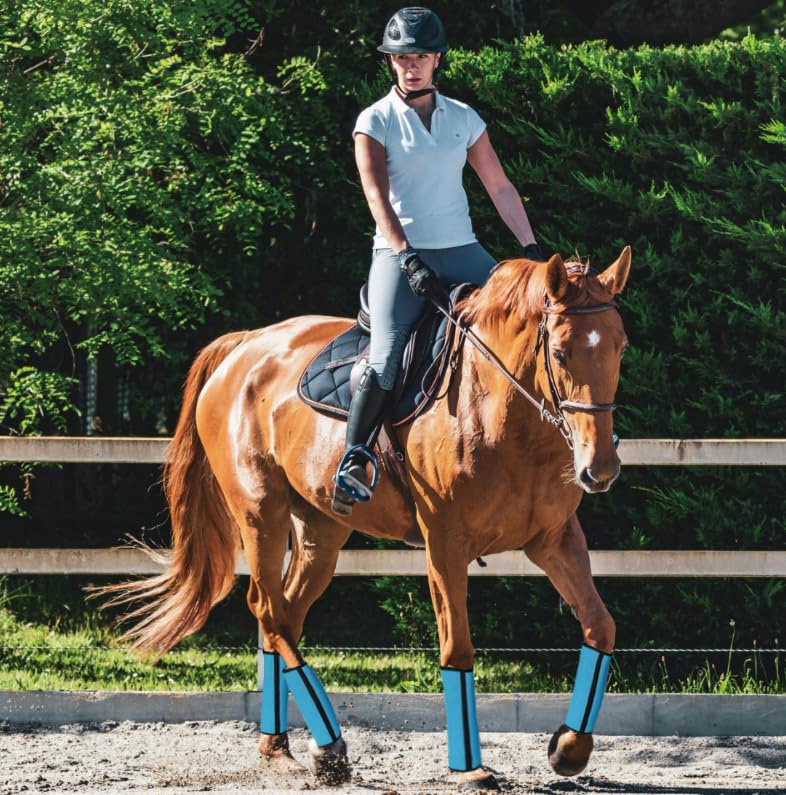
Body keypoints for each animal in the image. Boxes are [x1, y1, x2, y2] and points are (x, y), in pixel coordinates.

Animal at [99, 247, 631, 790]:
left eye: (621, 348)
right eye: (561, 353)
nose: (600, 469)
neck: (502, 415)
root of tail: (243, 346)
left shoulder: (554, 539)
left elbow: (601, 626)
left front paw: (570, 748)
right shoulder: (446, 545)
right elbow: (457, 648)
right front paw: (470, 768)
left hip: (320, 531)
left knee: (285, 614)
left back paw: (282, 747)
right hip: (260, 512)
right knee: (268, 609)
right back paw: (330, 746)